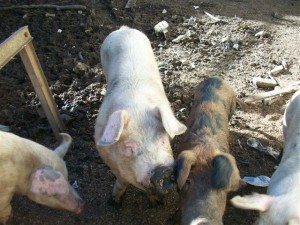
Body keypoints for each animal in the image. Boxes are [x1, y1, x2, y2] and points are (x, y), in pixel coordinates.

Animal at [95, 26, 186, 204]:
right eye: (129, 147)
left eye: (163, 139)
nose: (162, 170)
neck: (135, 107)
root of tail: (124, 29)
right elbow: (121, 180)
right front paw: (114, 202)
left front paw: (155, 203)